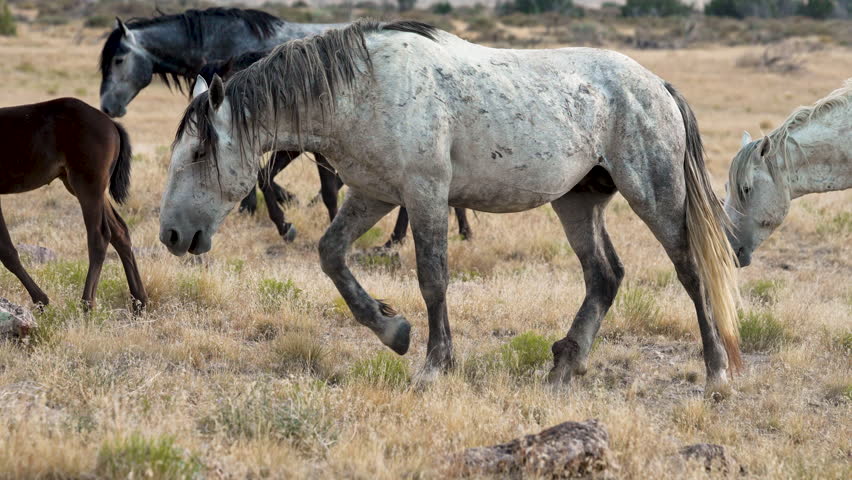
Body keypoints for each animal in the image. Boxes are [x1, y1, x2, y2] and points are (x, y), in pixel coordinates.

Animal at [0, 98, 147, 311]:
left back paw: (87, 305)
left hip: (87, 185)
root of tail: (111, 124)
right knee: (120, 232)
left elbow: (7, 250)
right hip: (82, 186)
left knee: (99, 236)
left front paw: (41, 300)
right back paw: (139, 303)